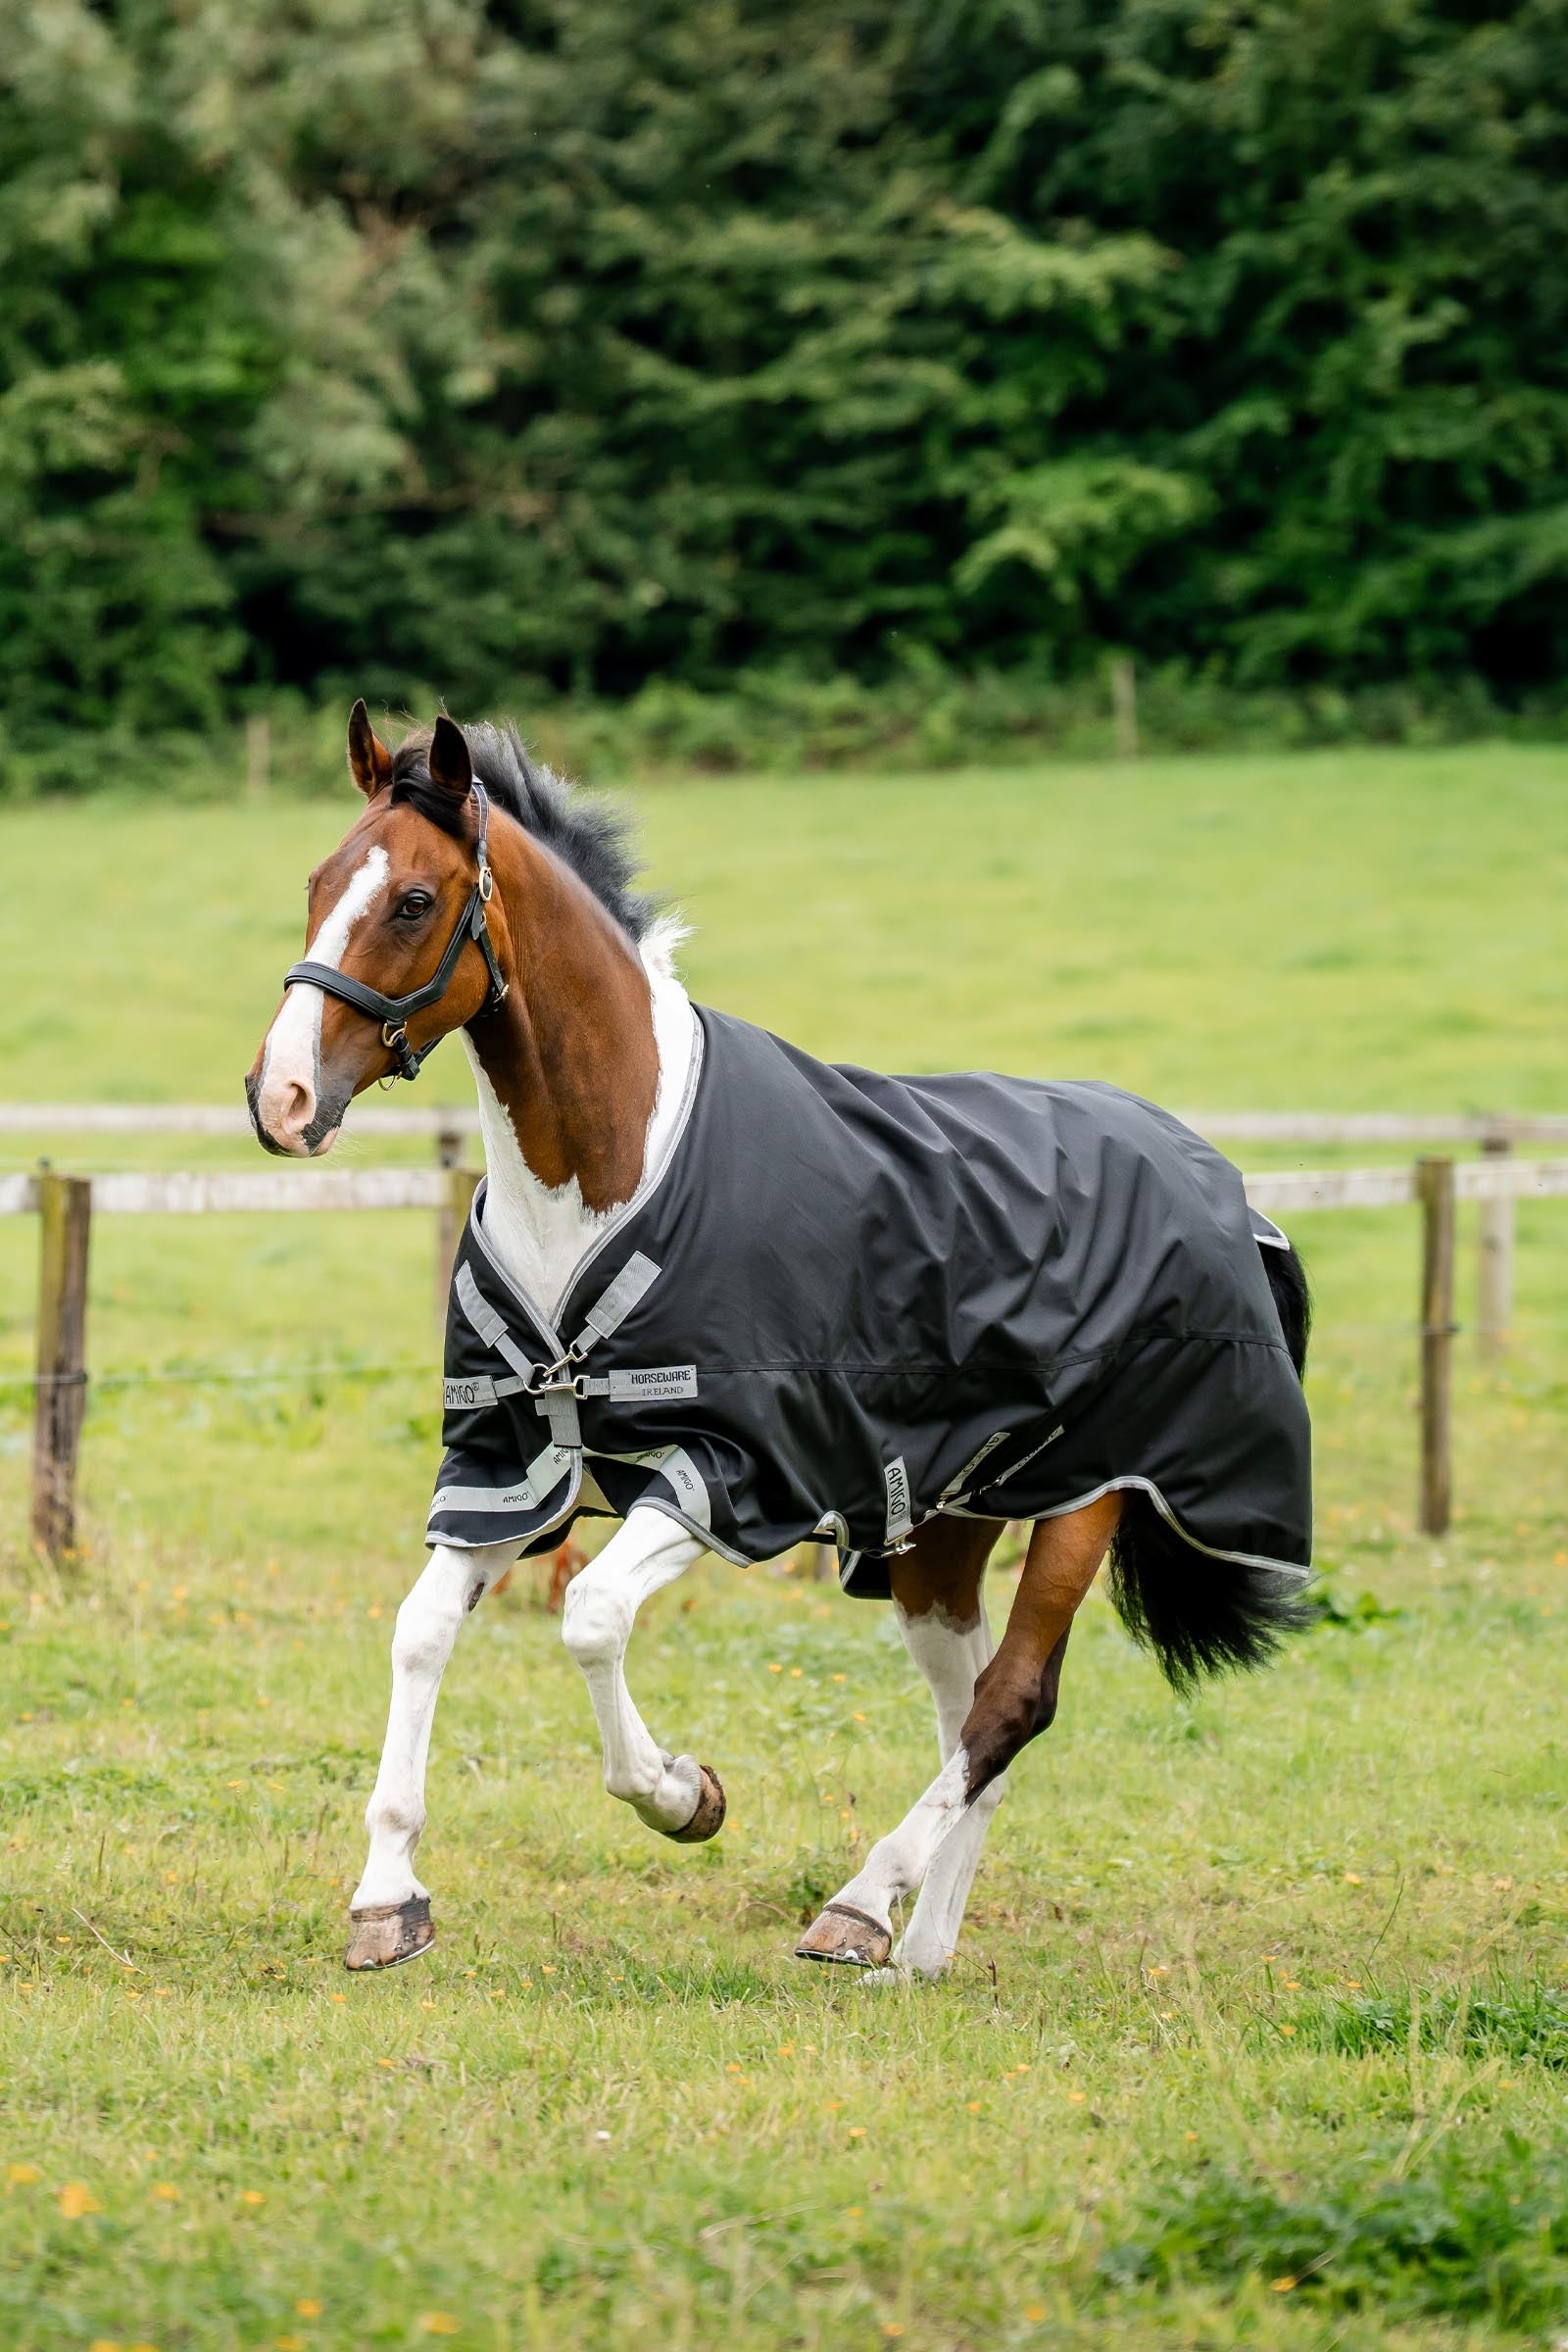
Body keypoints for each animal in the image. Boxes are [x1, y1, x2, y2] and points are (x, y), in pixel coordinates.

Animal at [246, 705, 1313, 1978]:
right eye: (316, 883)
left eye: (412, 899)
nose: (281, 1099)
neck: (602, 1176)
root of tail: (1217, 1179)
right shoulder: (511, 1469)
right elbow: (419, 1633)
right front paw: (387, 1900)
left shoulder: (728, 1471)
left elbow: (590, 1617)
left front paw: (682, 1795)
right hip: (939, 1530)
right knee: (971, 1722)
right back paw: (918, 1951)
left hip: (1091, 1495)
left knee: (1012, 1703)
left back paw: (859, 1907)